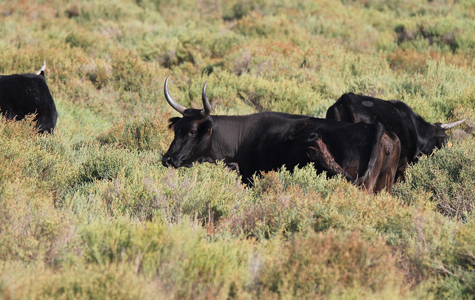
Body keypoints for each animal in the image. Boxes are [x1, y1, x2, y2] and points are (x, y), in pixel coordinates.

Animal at [163, 76, 402, 193]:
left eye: (192, 131)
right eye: (177, 129)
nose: (167, 159)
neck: (244, 137)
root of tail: (377, 129)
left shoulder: (252, 177)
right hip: (385, 184)